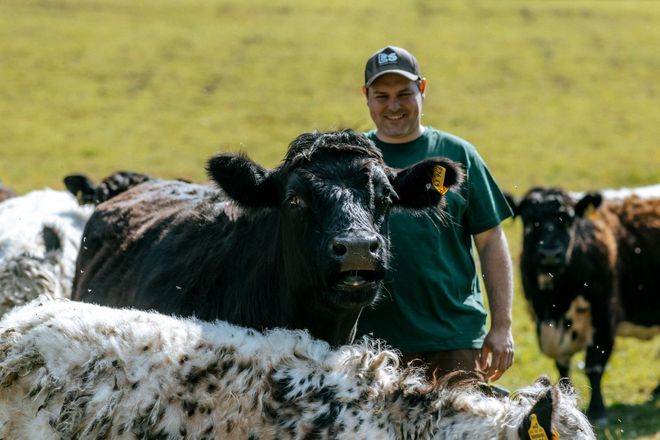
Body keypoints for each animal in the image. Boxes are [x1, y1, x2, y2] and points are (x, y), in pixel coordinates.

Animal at [510, 187, 660, 424]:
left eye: (568, 219)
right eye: (529, 218)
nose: (550, 254)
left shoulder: (605, 317)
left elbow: (594, 365)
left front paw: (597, 411)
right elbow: (562, 369)